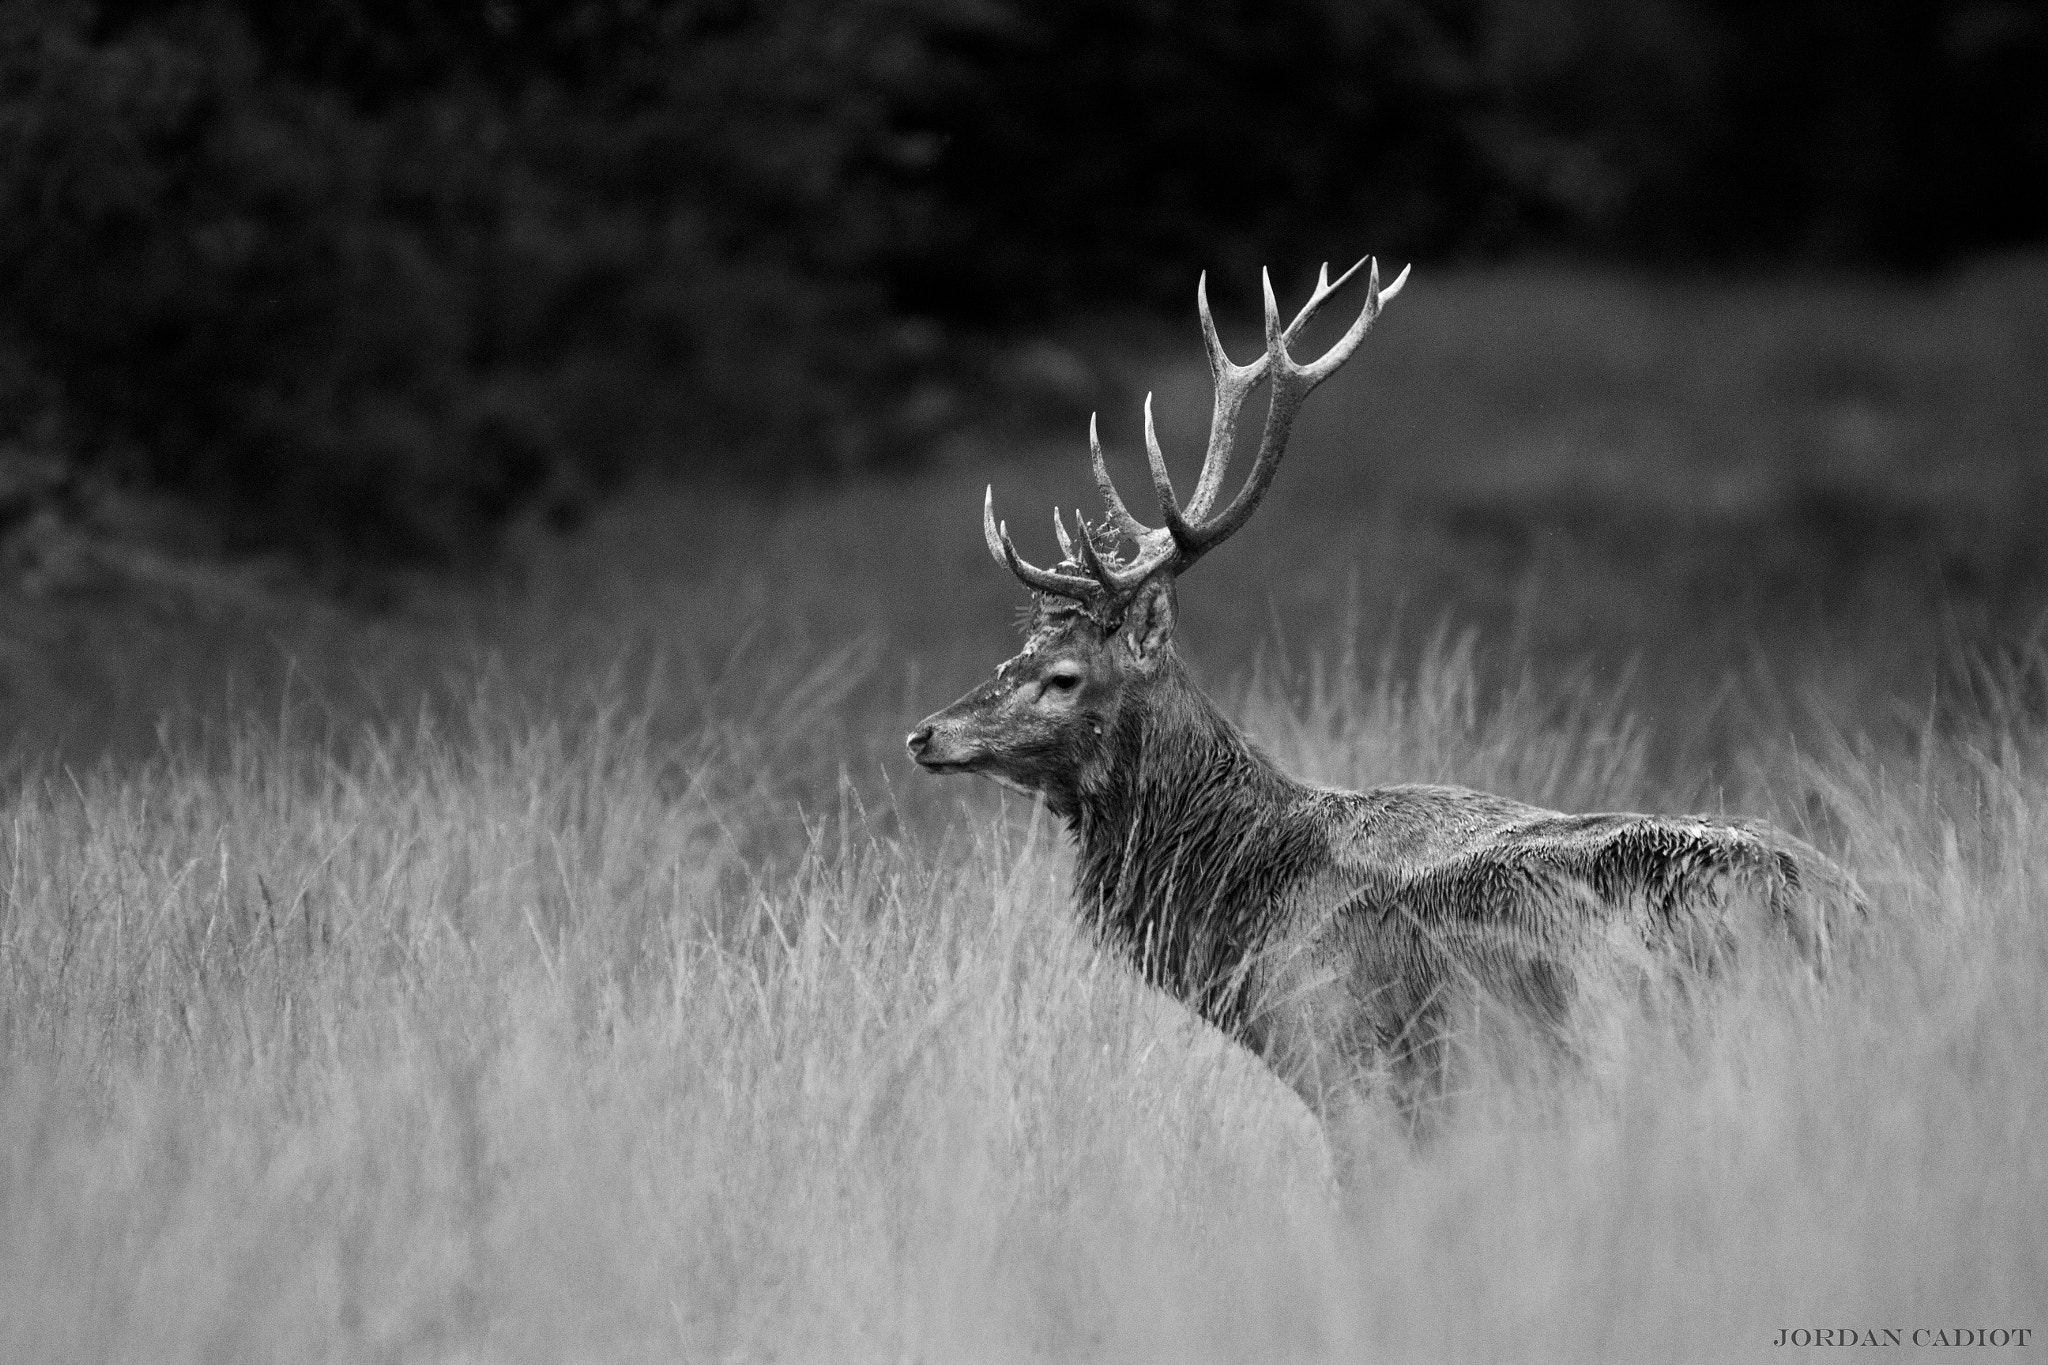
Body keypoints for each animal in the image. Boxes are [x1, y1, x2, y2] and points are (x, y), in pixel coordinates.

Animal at [906, 258, 1865, 1134]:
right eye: (1017, 649)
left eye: (1065, 675)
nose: (924, 733)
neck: (1244, 910)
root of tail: (1845, 908)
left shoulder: (1346, 1053)